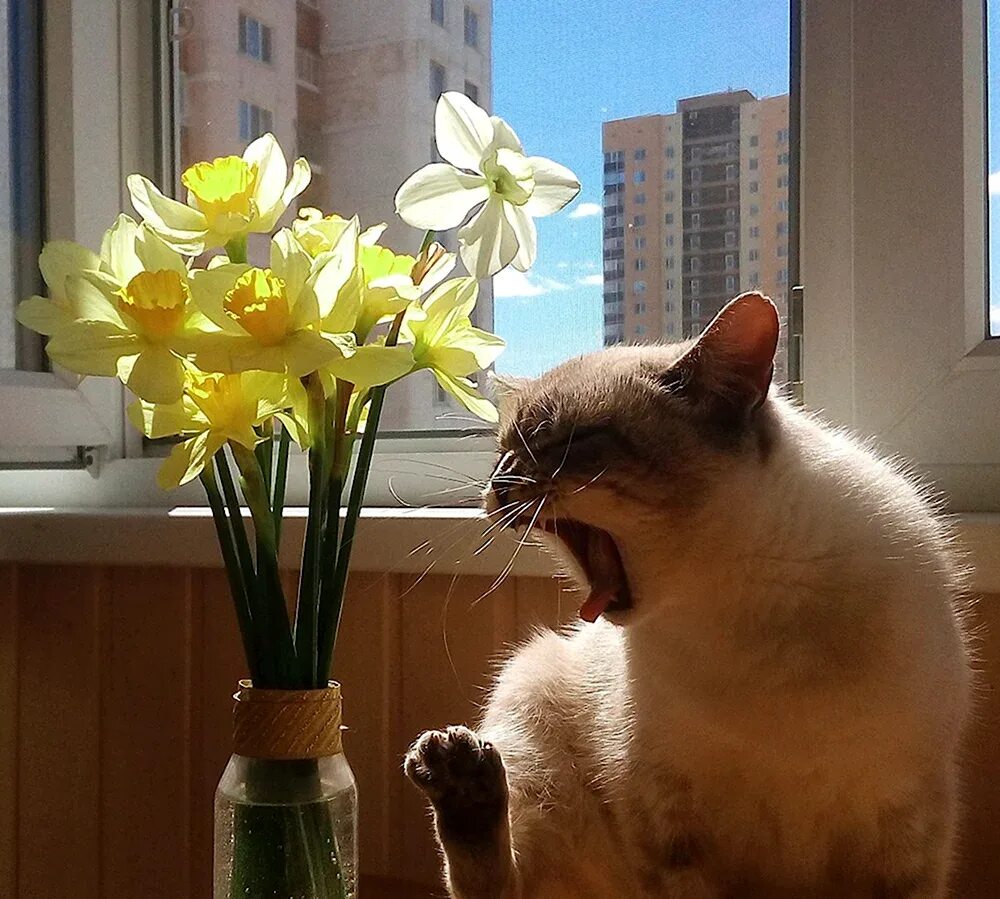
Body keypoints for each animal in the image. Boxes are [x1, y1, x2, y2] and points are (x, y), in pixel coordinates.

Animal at [404, 293, 973, 898]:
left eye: (572, 441)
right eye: (503, 452)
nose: (498, 485)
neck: (735, 600)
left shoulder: (907, 826)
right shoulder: (667, 826)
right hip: (531, 703)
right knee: (498, 881)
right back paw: (460, 778)